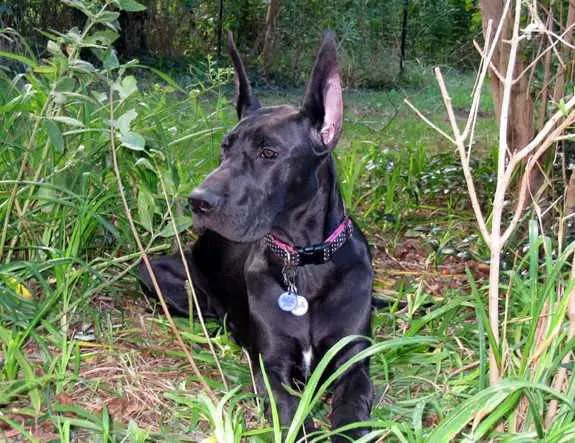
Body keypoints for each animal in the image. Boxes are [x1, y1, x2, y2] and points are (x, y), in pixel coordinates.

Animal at [140, 30, 374, 440]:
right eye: (224, 148)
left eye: (269, 153)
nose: (197, 201)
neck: (304, 261)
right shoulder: (272, 367)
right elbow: (291, 413)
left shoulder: (353, 363)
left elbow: (351, 409)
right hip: (160, 276)